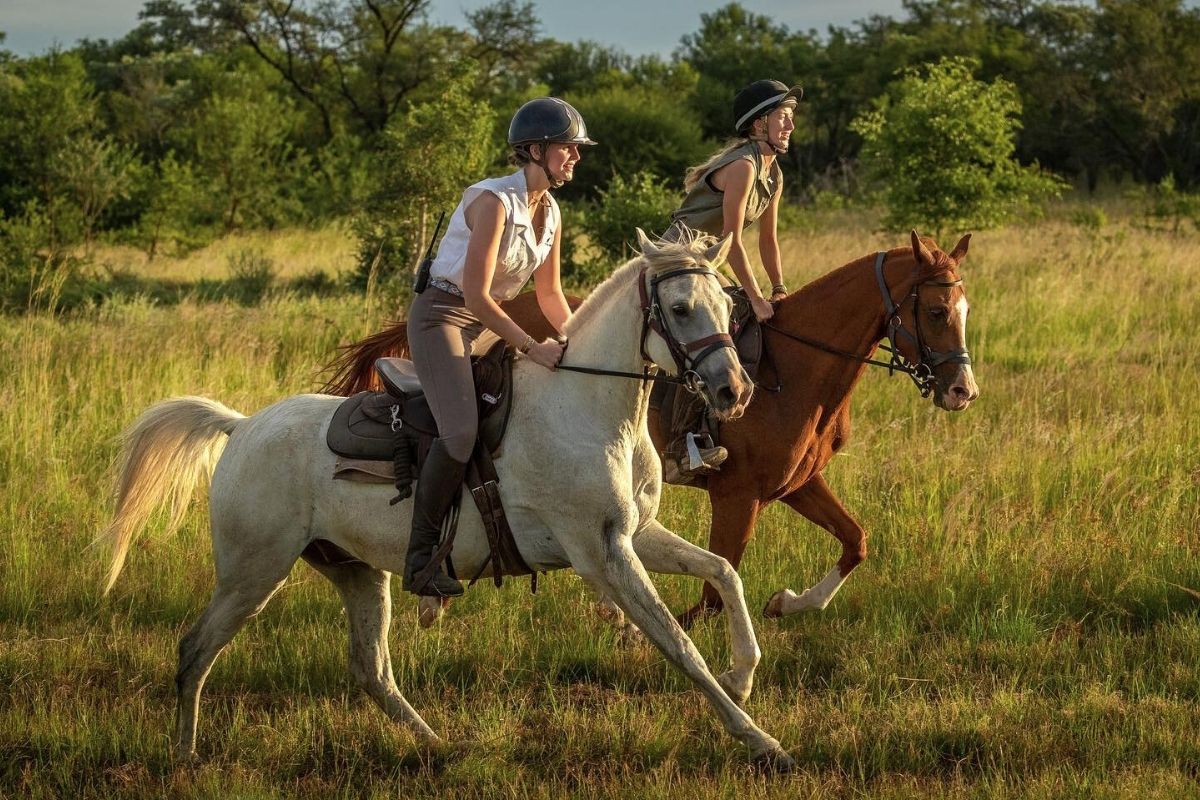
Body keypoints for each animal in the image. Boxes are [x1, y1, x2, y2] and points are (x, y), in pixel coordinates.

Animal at [98, 229, 801, 770]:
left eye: (727, 304)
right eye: (679, 308)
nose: (734, 390)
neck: (588, 407)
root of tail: (241, 427)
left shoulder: (634, 535)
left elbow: (724, 572)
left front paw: (744, 675)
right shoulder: (602, 554)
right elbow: (678, 645)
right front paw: (760, 741)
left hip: (356, 572)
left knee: (371, 669)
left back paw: (438, 745)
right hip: (253, 573)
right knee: (196, 650)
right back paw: (185, 757)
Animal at [322, 231, 978, 625]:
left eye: (964, 309)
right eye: (937, 310)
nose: (961, 391)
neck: (793, 369)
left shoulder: (795, 485)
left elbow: (855, 541)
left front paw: (789, 603)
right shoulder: (738, 496)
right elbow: (714, 591)